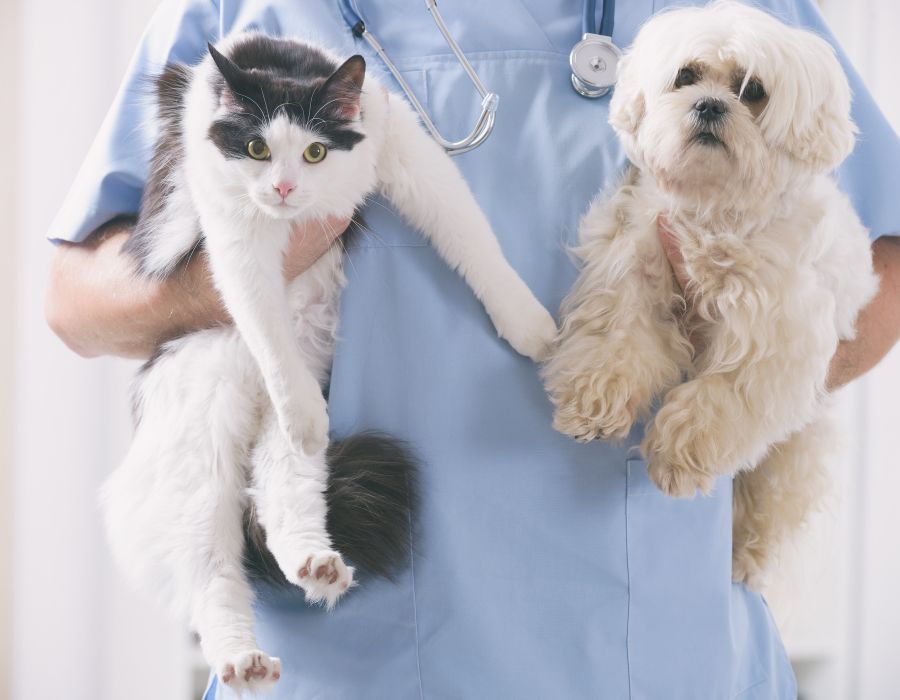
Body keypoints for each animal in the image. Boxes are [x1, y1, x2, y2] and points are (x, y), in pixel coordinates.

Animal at [540, 1, 880, 592]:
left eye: (753, 90)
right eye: (687, 76)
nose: (709, 104)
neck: (714, 211)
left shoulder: (772, 340)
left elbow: (719, 399)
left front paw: (679, 457)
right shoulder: (635, 264)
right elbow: (615, 342)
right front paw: (593, 404)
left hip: (795, 454)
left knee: (770, 503)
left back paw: (746, 555)